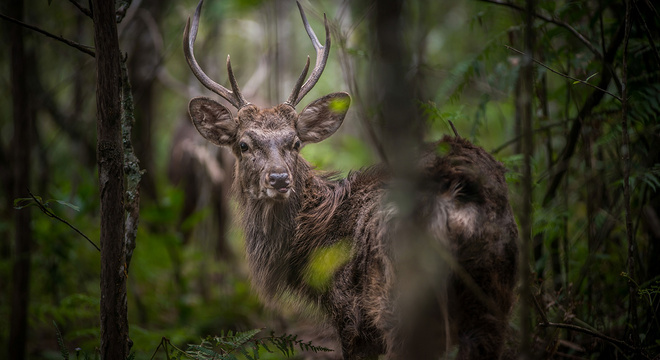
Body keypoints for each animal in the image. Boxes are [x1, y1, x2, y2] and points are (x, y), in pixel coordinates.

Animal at [183, 1, 520, 358]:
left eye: (295, 142)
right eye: (244, 144)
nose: (278, 178)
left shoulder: (351, 317)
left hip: (398, 304)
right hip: (495, 296)